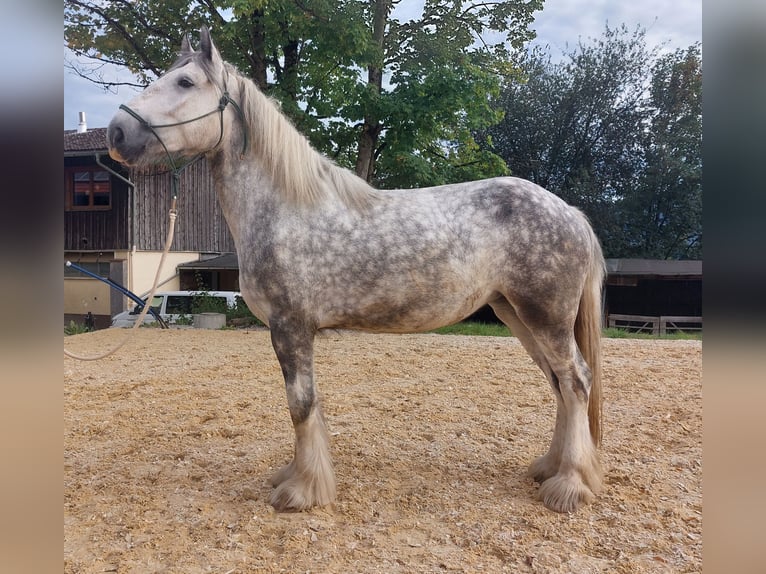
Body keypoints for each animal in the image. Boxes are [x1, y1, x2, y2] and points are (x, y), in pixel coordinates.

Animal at [108, 27, 608, 516]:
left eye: (185, 83)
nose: (116, 132)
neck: (286, 209)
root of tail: (569, 212)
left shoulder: (290, 326)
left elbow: (301, 405)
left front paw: (303, 491)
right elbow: (306, 407)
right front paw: (294, 476)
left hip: (546, 317)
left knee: (576, 381)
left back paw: (569, 486)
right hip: (516, 314)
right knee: (560, 384)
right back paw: (550, 469)